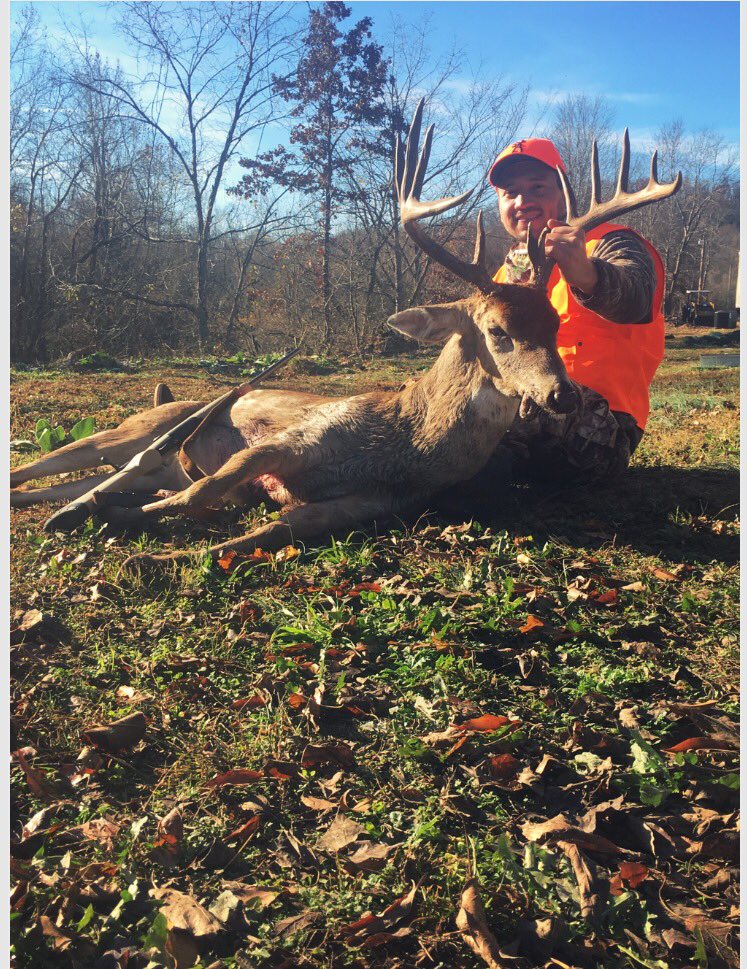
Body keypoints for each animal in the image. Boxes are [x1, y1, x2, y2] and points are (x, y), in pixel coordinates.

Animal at [10, 101, 679, 572]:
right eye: (496, 330)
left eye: (558, 324)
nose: (561, 395)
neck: (407, 440)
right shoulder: (289, 438)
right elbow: (199, 494)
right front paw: (123, 521)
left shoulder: (374, 502)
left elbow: (261, 530)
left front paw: (159, 546)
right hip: (125, 429)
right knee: (38, 471)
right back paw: (82, 502)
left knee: (60, 485)